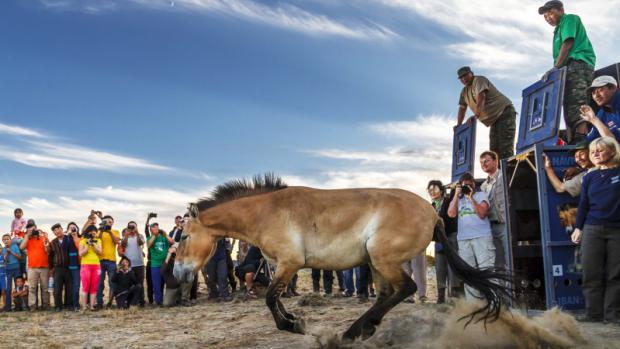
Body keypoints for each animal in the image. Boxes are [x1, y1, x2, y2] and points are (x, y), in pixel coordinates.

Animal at [172, 174, 512, 340]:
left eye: (184, 235)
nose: (177, 273)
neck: (266, 210)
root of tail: (434, 214)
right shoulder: (281, 265)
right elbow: (276, 298)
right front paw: (295, 318)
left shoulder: (290, 263)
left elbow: (270, 298)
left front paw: (294, 326)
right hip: (376, 262)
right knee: (387, 294)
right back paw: (365, 329)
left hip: (383, 258)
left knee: (407, 288)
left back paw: (353, 331)